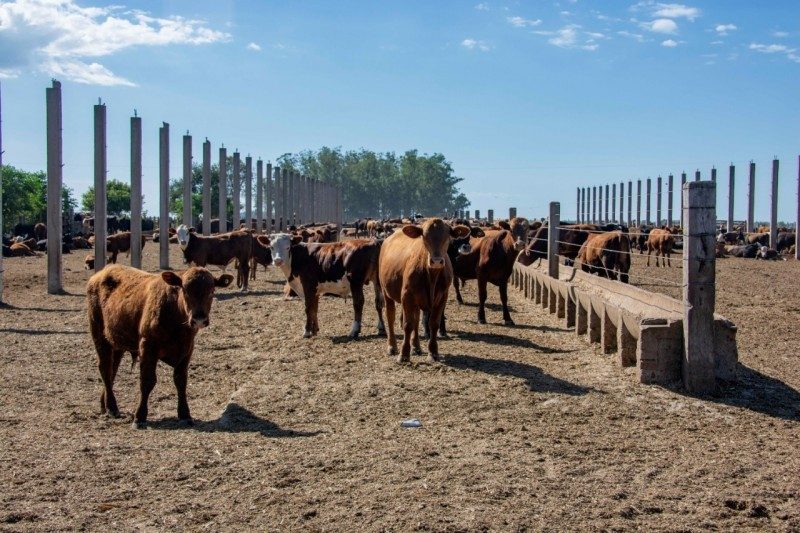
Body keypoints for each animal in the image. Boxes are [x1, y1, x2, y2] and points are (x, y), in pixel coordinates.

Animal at [87, 264, 233, 426]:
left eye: (212, 290)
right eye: (185, 290)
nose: (199, 319)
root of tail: (102, 272)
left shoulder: (187, 349)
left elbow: (181, 380)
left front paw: (185, 414)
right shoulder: (147, 347)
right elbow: (147, 381)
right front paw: (140, 416)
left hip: (117, 343)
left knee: (113, 369)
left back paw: (105, 405)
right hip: (99, 335)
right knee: (105, 369)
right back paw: (112, 408)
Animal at [380, 217, 472, 362]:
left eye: (447, 236)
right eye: (424, 236)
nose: (437, 261)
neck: (431, 277)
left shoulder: (442, 297)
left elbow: (433, 323)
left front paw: (433, 352)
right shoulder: (407, 295)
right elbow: (407, 324)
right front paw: (404, 354)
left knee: (416, 320)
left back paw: (416, 347)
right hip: (386, 292)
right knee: (390, 316)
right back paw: (392, 346)